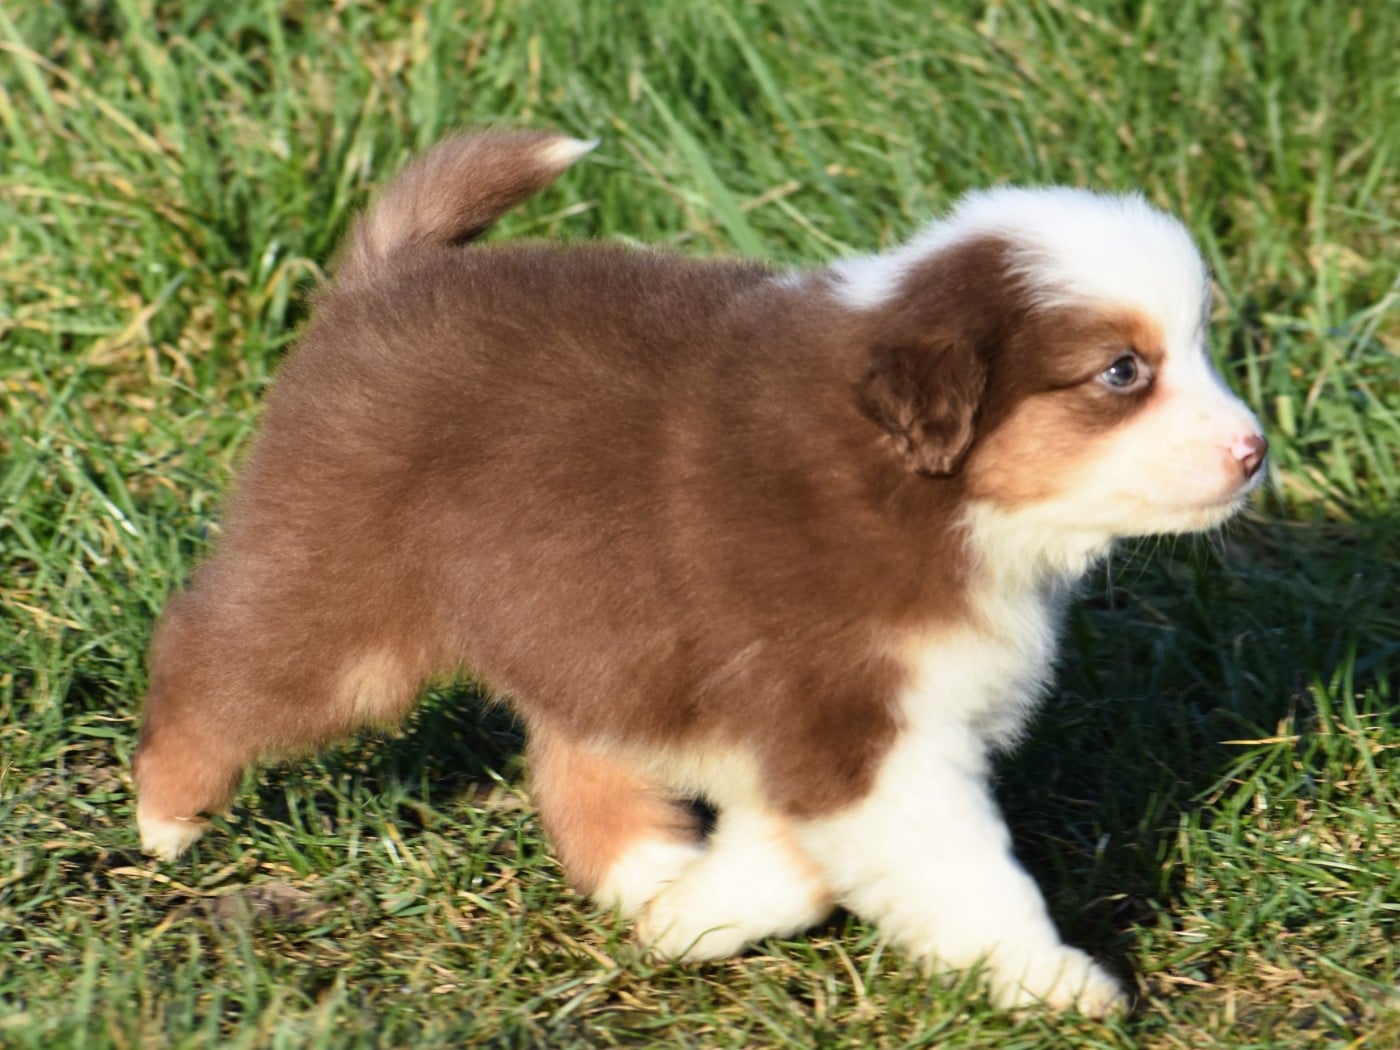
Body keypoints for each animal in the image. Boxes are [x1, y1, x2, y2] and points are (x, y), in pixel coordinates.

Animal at [134, 129, 1266, 1014]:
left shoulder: (861, 731)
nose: (1255, 450)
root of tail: (387, 274)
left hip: (586, 625)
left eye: (1198, 346)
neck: (933, 491)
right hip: (345, 594)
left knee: (575, 763)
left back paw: (655, 876)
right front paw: (1053, 982)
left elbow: (801, 863)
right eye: (1121, 371)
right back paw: (164, 817)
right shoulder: (852, 721)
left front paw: (696, 918)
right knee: (210, 654)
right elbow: (963, 874)